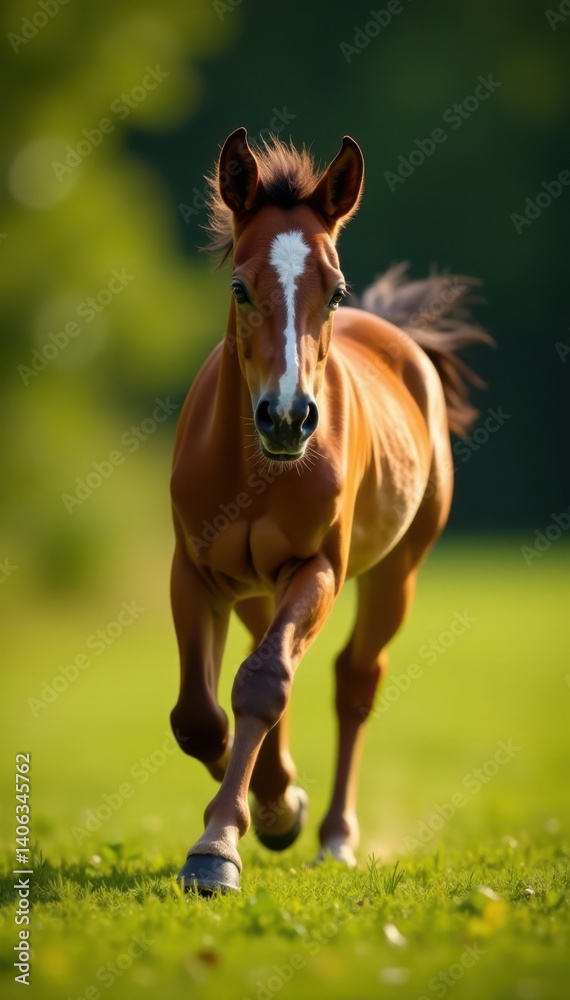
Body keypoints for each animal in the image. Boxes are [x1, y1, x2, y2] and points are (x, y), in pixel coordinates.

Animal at [169, 128, 491, 894]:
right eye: (239, 287)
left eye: (335, 290)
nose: (288, 418)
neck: (256, 472)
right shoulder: (192, 570)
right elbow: (199, 716)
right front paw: (266, 803)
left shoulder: (318, 566)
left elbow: (263, 685)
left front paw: (221, 845)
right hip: (255, 585)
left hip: (395, 575)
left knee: (354, 680)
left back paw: (336, 836)